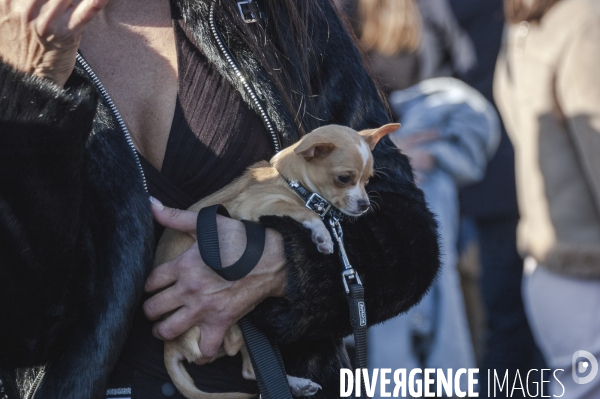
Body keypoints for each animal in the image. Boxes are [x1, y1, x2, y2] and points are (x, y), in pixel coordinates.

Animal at [154, 123, 398, 398]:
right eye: (344, 178)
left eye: (368, 181)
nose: (365, 204)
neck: (291, 183)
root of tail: (170, 345)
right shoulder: (257, 207)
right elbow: (305, 212)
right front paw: (323, 235)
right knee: (237, 350)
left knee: (250, 369)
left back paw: (296, 383)